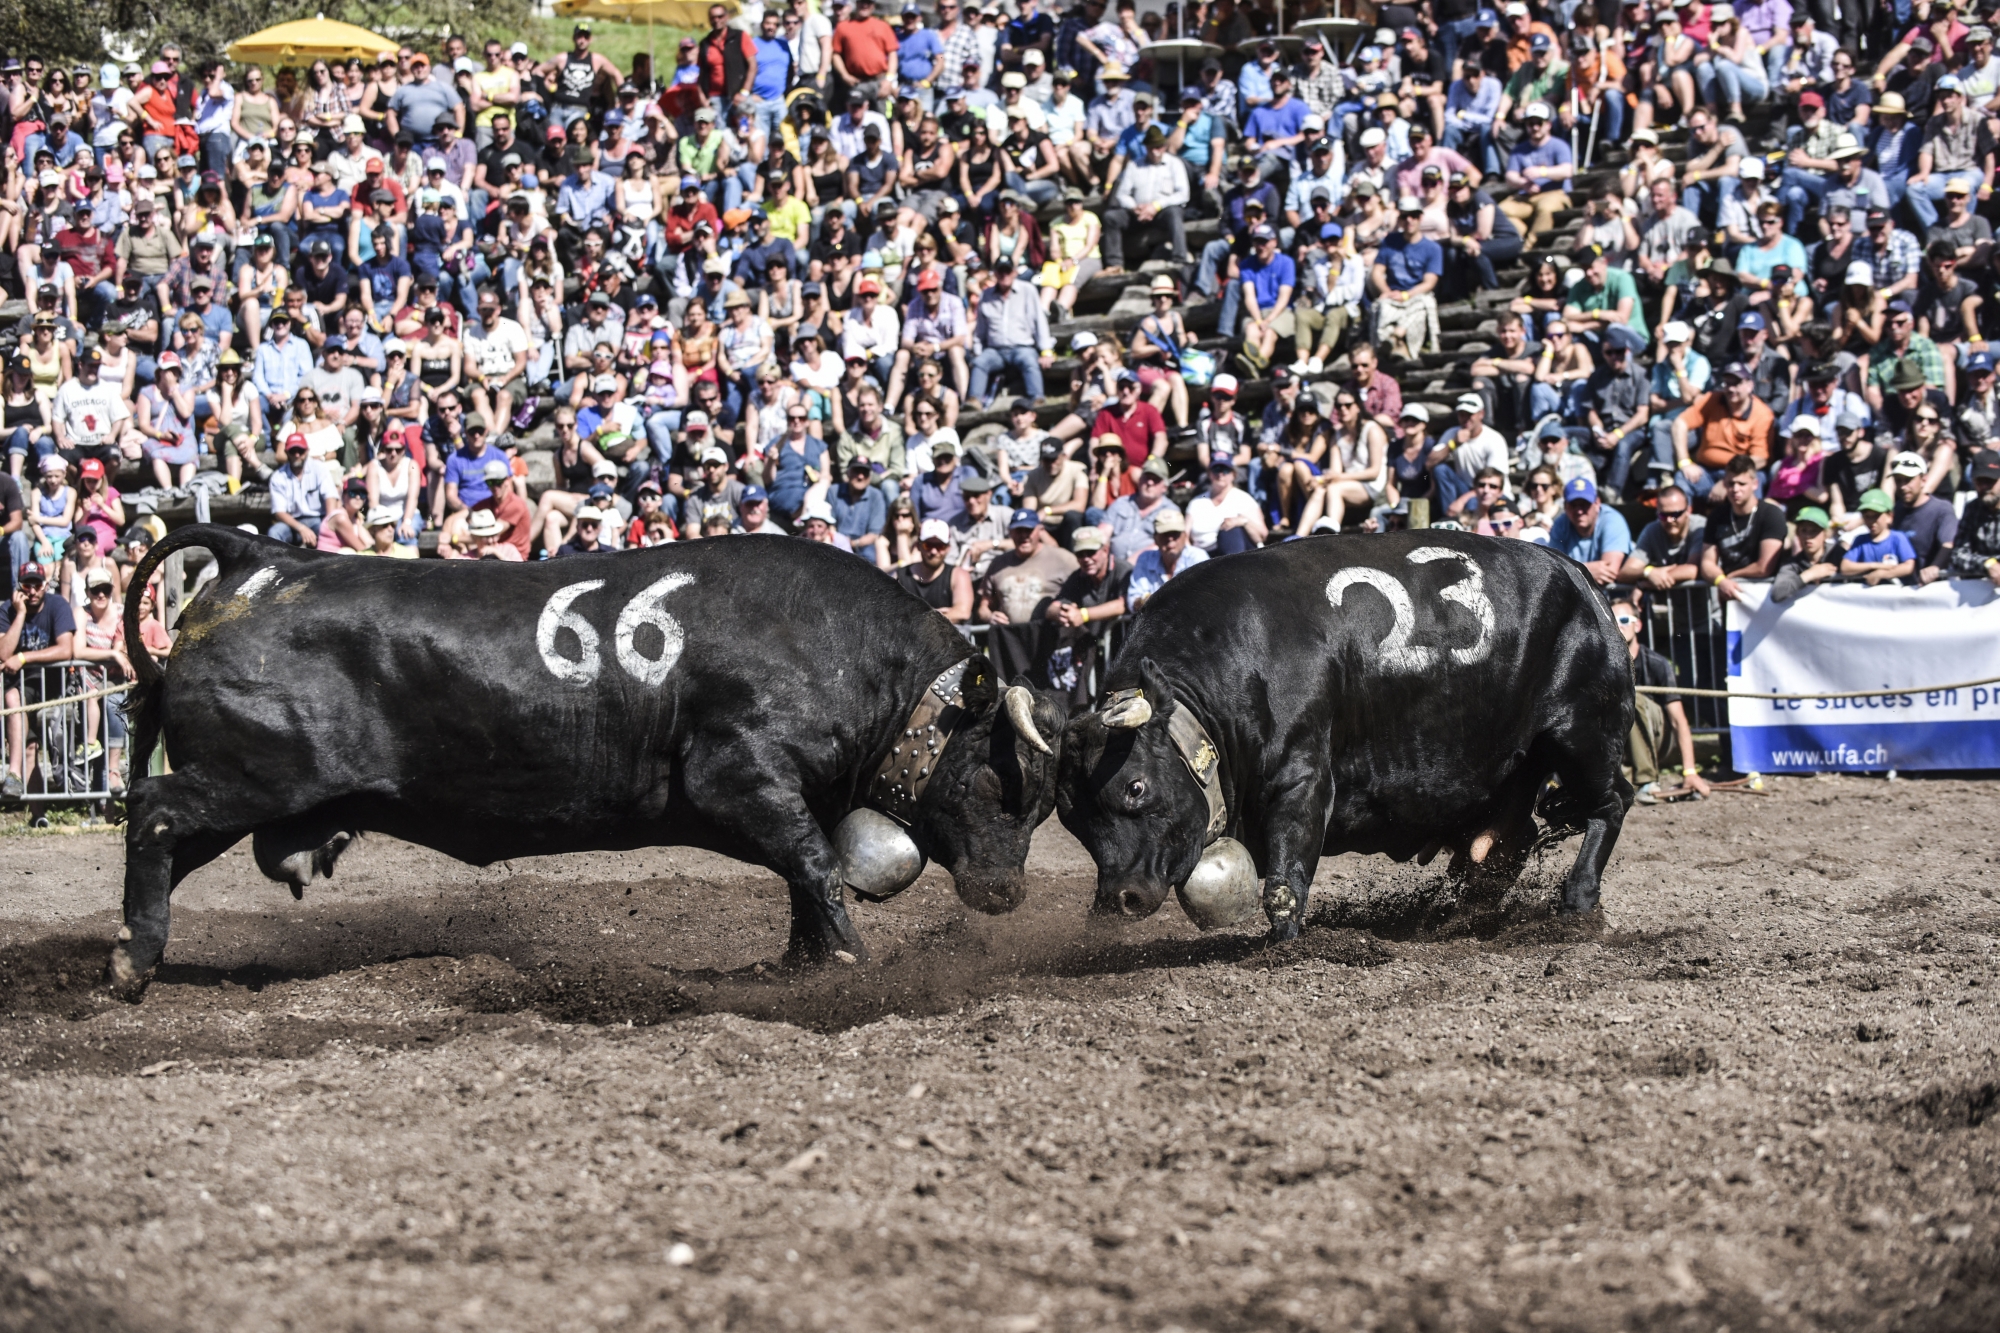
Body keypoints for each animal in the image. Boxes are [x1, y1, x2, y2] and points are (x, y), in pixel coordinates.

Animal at [105, 528, 1080, 996]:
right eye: (998, 782)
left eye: (1044, 805)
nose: (1006, 893)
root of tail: (261, 560)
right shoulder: (739, 776)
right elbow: (815, 863)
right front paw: (849, 961)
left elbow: (808, 877)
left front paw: (805, 960)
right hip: (249, 775)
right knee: (151, 809)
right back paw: (131, 962)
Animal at [1056, 524, 1632, 928]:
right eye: (1071, 818)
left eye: (1134, 787)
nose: (1119, 899)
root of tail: (1578, 576)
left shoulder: (1303, 777)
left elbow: (1285, 884)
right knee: (1510, 841)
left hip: (1581, 735)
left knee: (1611, 803)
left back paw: (1579, 901)